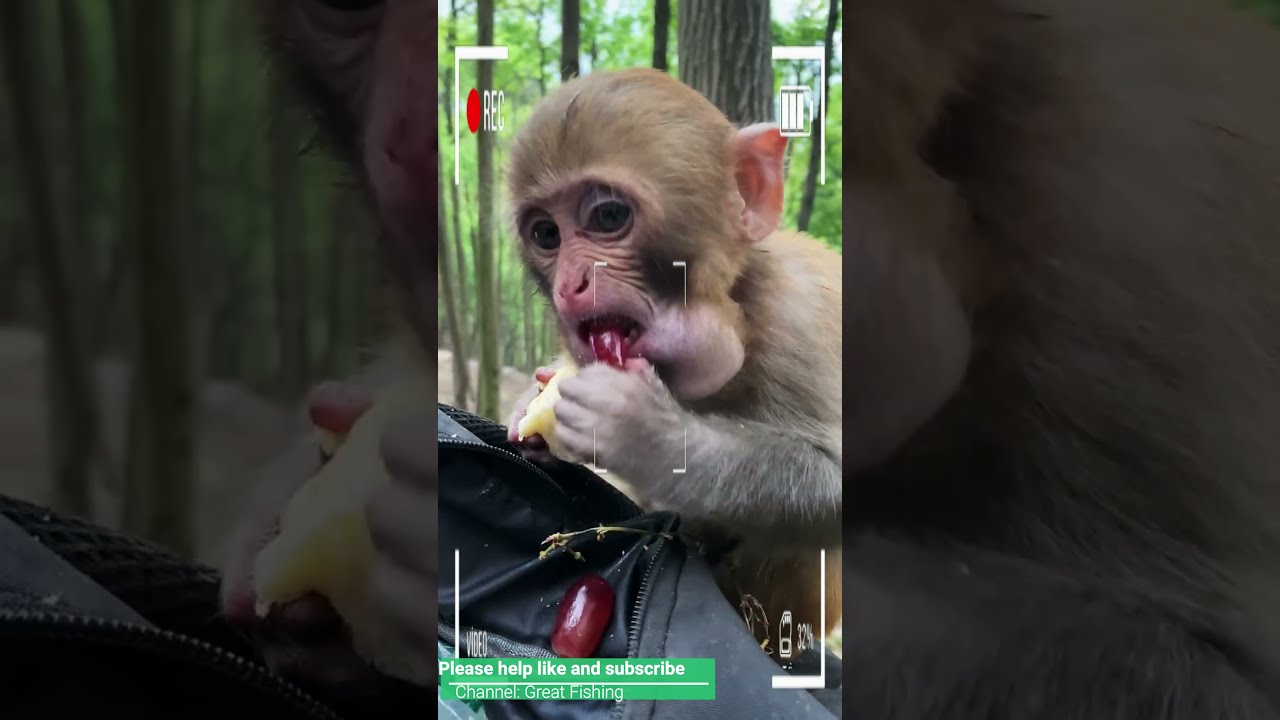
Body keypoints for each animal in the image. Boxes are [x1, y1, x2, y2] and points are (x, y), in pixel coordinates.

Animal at [502, 68, 844, 650]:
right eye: (546, 234)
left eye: (609, 215)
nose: (570, 285)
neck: (736, 310)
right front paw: (534, 397)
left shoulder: (797, 315)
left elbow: (838, 485)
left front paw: (643, 431)